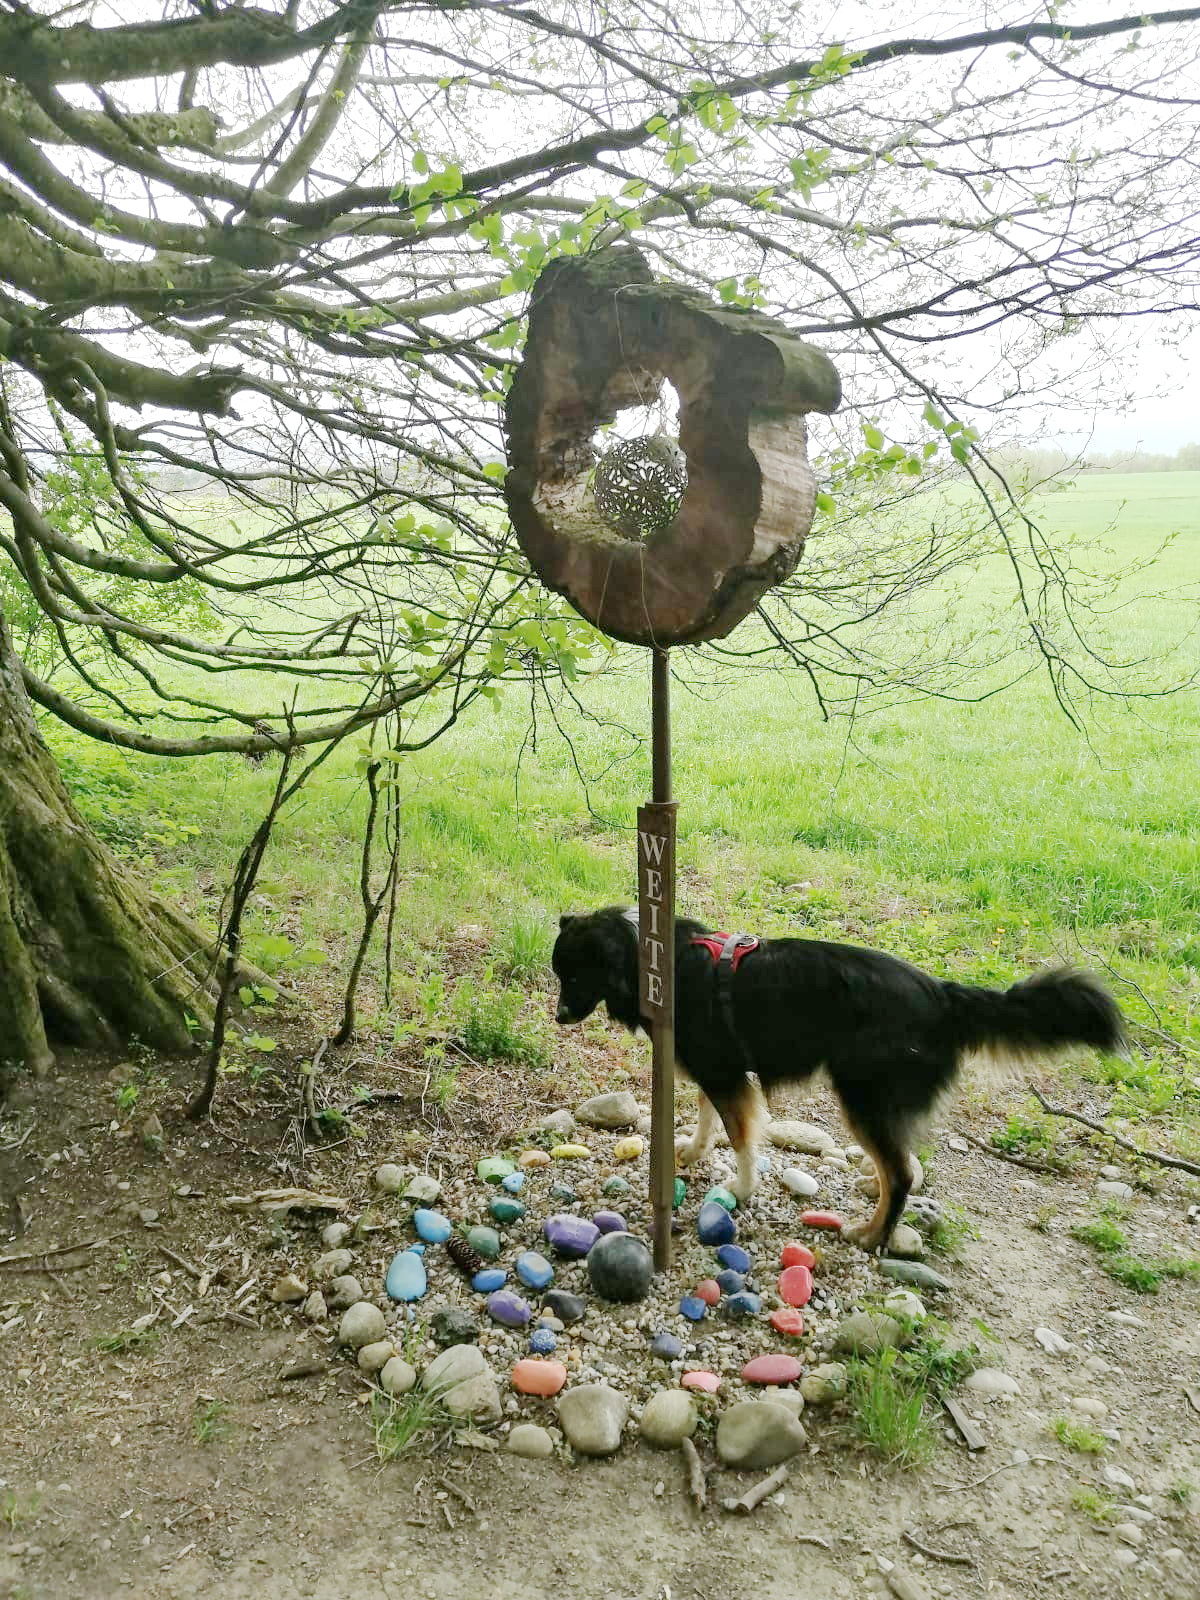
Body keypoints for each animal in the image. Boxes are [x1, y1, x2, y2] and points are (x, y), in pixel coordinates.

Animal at [552, 907, 1125, 1251]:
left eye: (575, 975)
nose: (557, 1017)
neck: (647, 953)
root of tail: (943, 995)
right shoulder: (714, 1069)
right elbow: (706, 1116)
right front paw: (692, 1151)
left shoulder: (725, 1073)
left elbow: (741, 1136)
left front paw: (741, 1187)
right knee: (902, 1162)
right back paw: (873, 1186)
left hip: (861, 1097)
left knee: (901, 1175)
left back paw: (870, 1234)